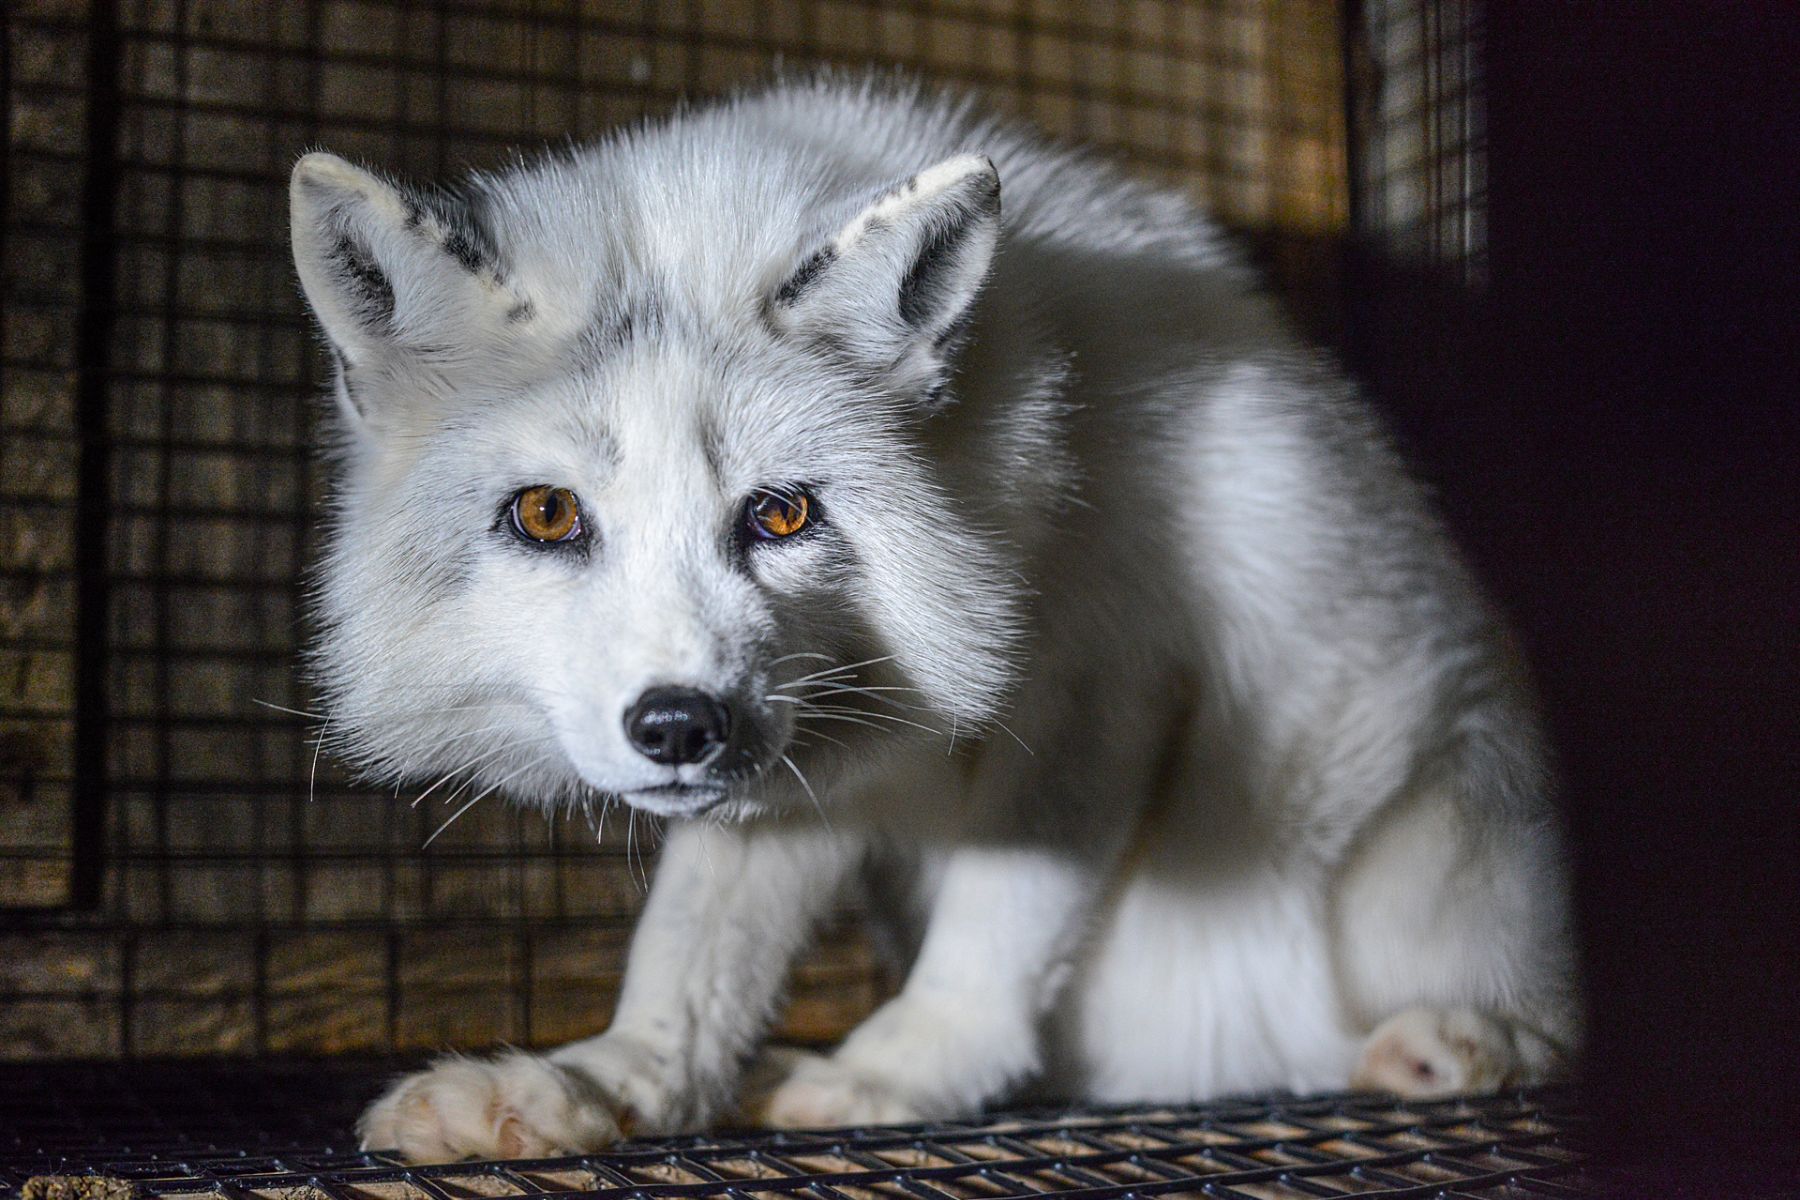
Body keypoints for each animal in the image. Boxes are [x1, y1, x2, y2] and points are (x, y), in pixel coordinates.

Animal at [289, 74, 1578, 1163]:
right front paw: (608, 1084)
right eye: (548, 514)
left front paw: (898, 1071)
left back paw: (1471, 1039)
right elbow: (689, 952)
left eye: (782, 513)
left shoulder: (1106, 681)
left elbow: (997, 927)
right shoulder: (803, 746)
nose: (679, 726)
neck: (1008, 481)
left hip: (1428, 854)